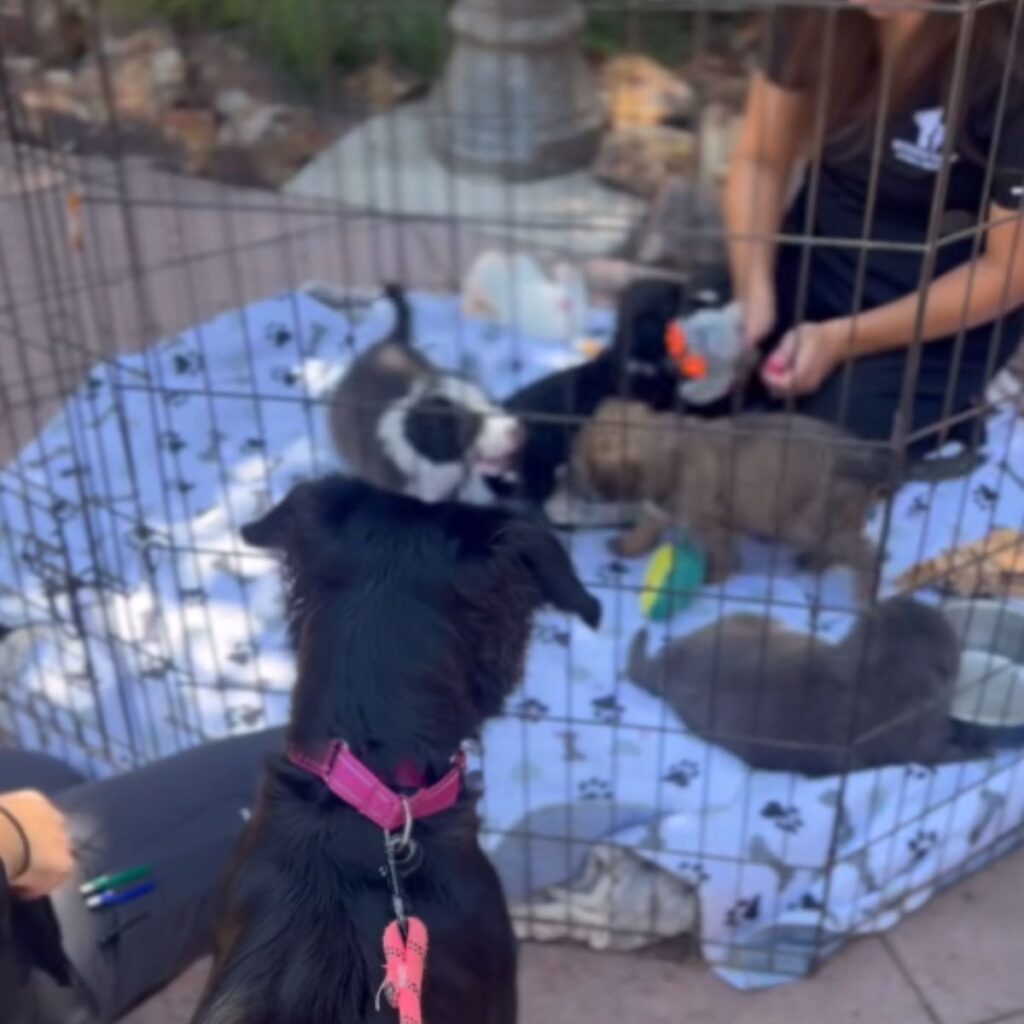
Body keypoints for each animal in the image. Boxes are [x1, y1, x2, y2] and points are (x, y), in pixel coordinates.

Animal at [573, 399, 884, 593]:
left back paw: (863, 595)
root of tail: (870, 458)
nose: (566, 477)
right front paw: (628, 545)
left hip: (807, 522)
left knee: (866, 552)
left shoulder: (711, 523)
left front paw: (713, 579)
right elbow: (646, 528)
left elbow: (719, 554)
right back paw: (815, 562)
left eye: (585, 466)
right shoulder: (658, 510)